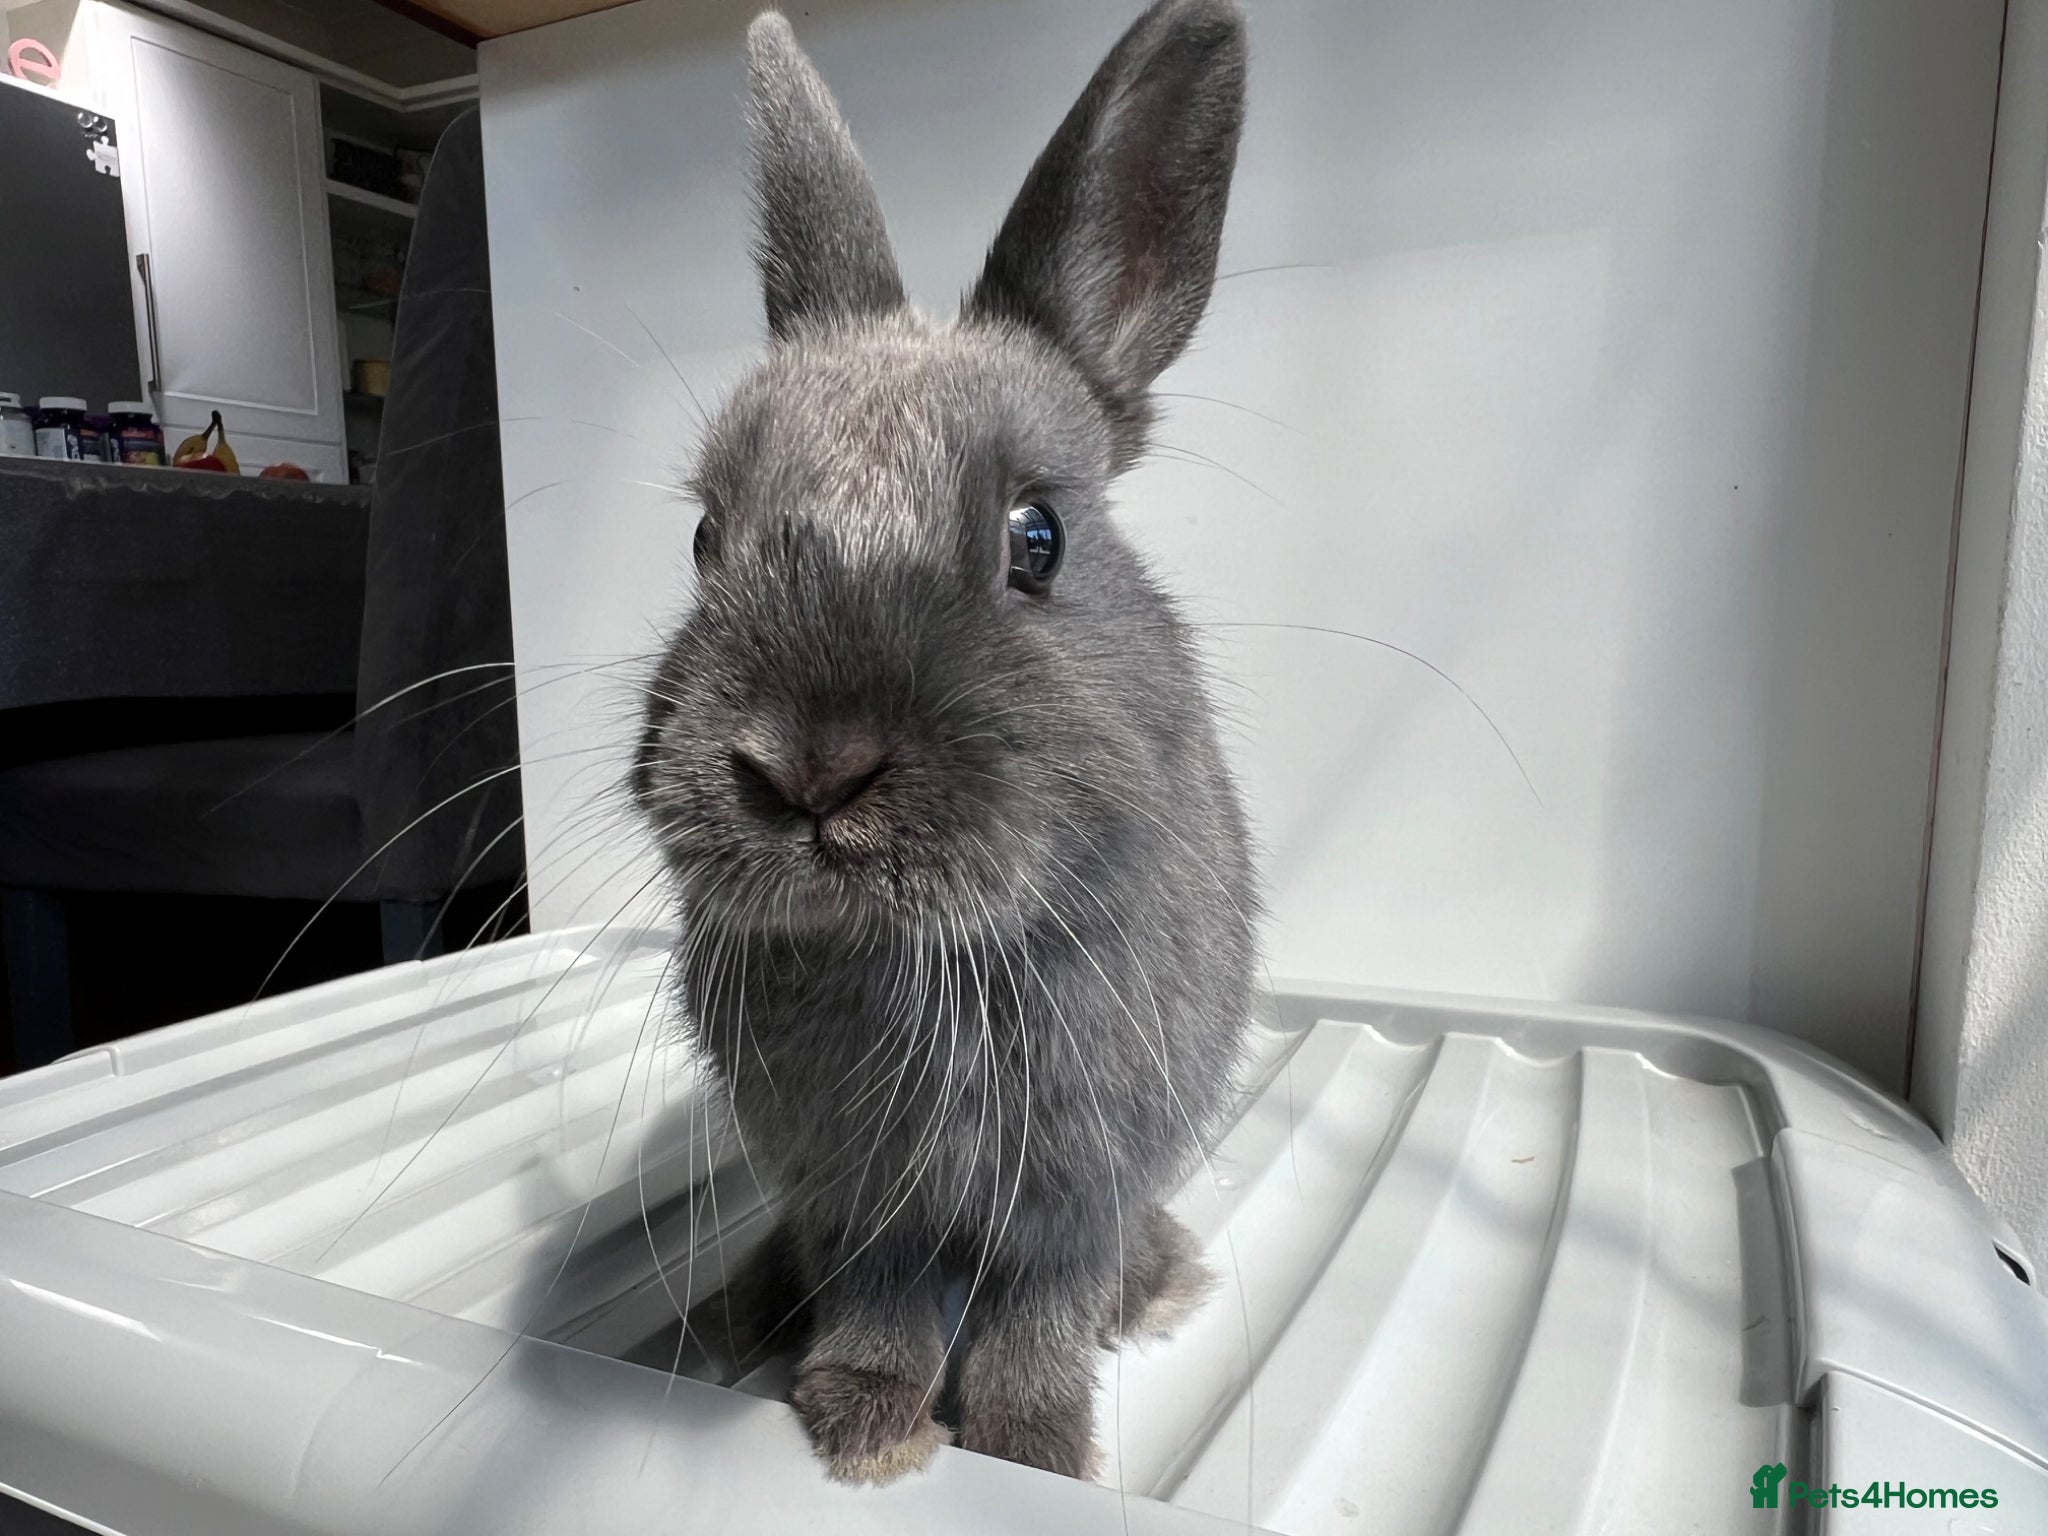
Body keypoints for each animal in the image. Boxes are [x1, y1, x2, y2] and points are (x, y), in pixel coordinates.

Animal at [631, 0, 1256, 1485]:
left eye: (1038, 539)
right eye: (707, 538)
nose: (807, 771)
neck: (915, 964)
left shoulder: (1075, 1188)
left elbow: (1038, 1314)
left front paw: (1030, 1450)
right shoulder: (863, 1198)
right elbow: (887, 1302)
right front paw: (864, 1422)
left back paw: (1156, 1285)